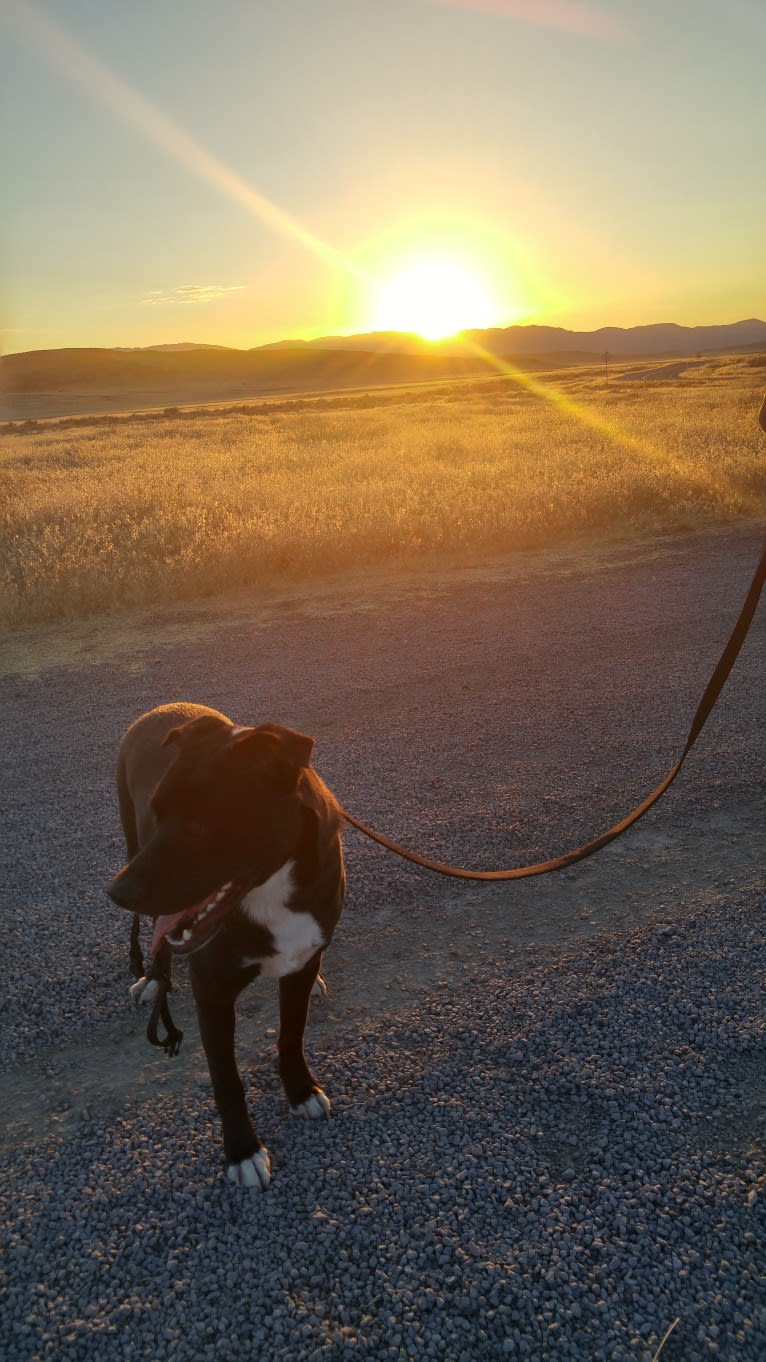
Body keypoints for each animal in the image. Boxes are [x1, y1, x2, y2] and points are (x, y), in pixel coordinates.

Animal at [105, 708, 344, 1187]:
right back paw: (153, 979)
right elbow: (226, 1079)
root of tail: (165, 707)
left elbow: (292, 1033)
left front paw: (300, 1090)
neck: (270, 890)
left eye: (199, 825)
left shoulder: (298, 963)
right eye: (158, 811)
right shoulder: (212, 991)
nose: (116, 892)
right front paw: (242, 1151)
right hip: (131, 838)